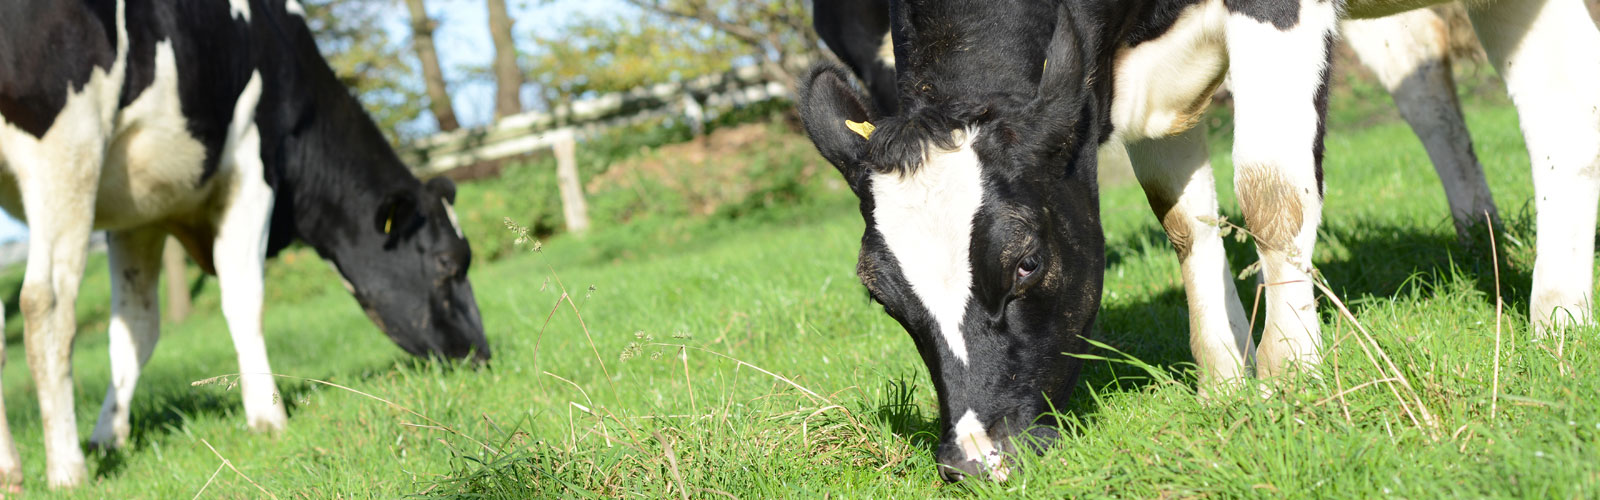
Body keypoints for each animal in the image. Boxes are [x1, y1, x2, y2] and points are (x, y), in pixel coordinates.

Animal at [0, 0, 489, 487]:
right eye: (448, 263)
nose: (482, 354)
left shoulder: (138, 214)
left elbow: (135, 330)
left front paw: (108, 438)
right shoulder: (252, 169)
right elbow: (244, 298)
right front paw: (268, 417)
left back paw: (12, 470)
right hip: (69, 143)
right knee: (46, 303)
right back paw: (67, 468)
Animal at [800, 0, 1600, 483]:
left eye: (1026, 262)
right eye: (881, 295)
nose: (974, 461)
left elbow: (1272, 194)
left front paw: (1291, 375)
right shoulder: (1143, 82)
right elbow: (1185, 223)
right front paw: (1222, 383)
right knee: (1550, 108)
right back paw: (1553, 313)